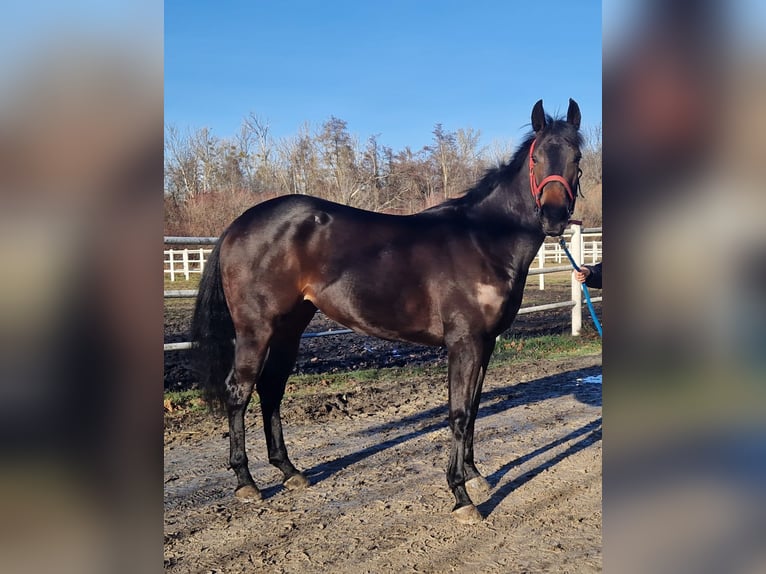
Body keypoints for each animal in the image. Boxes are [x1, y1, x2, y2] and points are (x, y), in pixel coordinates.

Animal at [190, 100, 584, 528]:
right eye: (537, 157)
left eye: (577, 157)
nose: (554, 216)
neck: (484, 239)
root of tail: (238, 225)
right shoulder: (463, 342)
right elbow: (459, 412)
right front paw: (461, 496)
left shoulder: (486, 343)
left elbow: (475, 409)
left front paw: (475, 476)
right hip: (256, 329)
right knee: (239, 390)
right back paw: (246, 482)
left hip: (289, 329)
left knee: (271, 389)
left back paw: (290, 471)